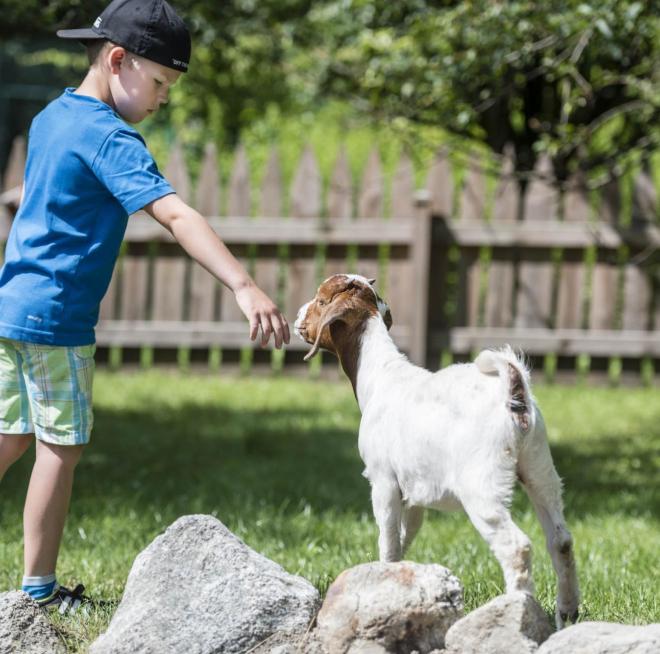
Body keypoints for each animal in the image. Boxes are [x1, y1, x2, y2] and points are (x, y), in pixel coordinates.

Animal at [294, 273, 579, 628]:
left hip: (482, 486)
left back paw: (517, 613)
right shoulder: (413, 491)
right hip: (540, 468)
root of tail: (513, 393)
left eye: (321, 301)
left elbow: (388, 540)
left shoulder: (383, 481)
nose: (298, 315)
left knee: (517, 547)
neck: (381, 374)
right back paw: (567, 614)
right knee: (561, 540)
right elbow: (403, 540)